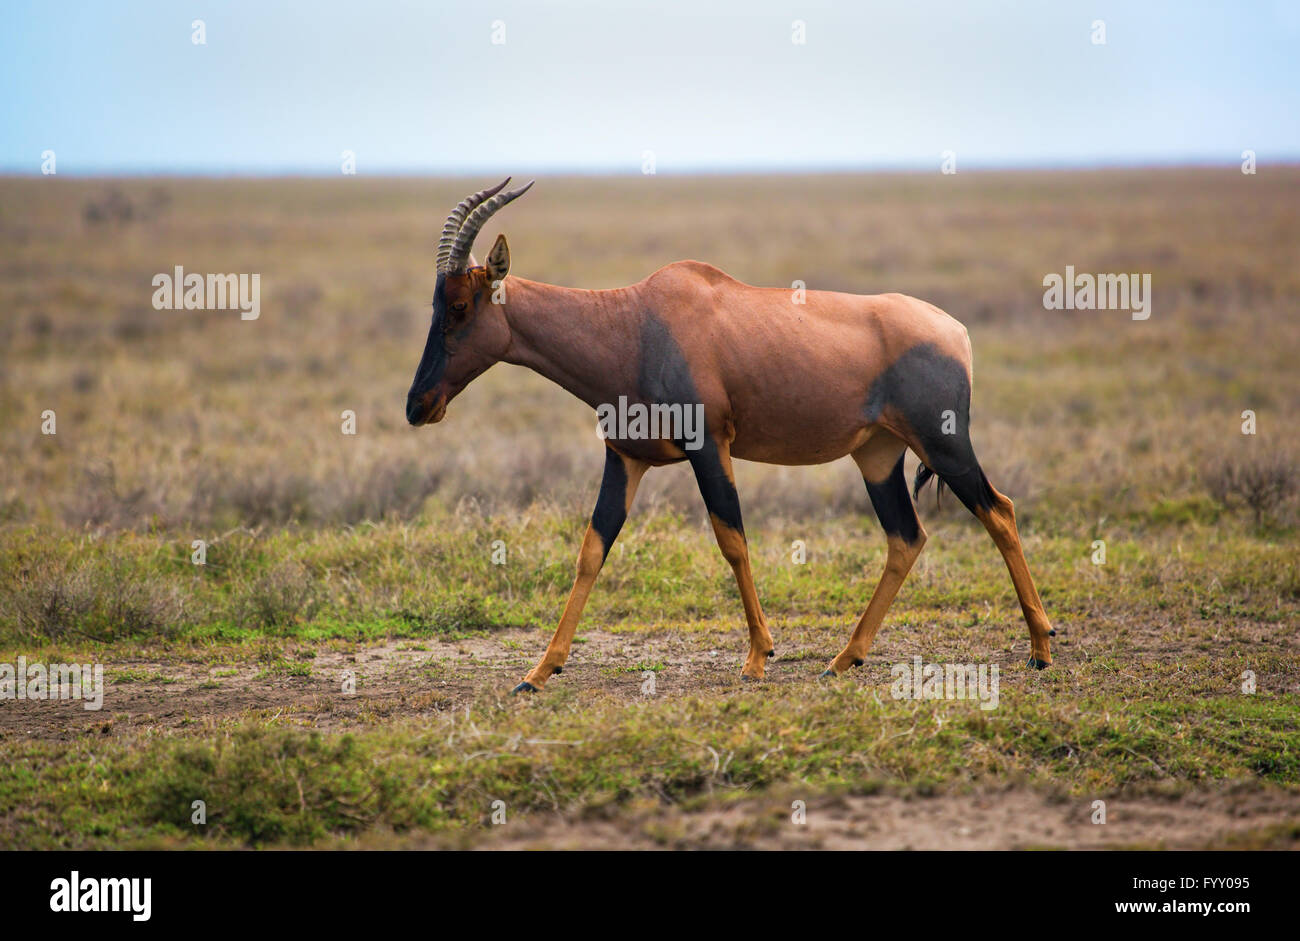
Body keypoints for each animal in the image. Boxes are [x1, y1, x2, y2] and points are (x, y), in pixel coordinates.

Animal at [408, 178, 1055, 691]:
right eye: (436, 304)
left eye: (461, 305)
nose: (418, 407)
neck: (637, 321)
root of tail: (955, 332)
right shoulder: (624, 457)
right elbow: (593, 548)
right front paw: (539, 672)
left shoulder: (709, 448)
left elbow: (732, 540)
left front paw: (757, 658)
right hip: (877, 455)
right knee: (907, 536)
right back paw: (844, 659)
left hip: (944, 444)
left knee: (999, 510)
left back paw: (1041, 647)